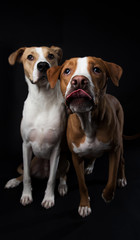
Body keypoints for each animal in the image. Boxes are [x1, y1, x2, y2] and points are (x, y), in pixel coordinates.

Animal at [5, 46, 69, 208]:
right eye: (30, 57)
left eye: (51, 56)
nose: (43, 65)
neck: (42, 99)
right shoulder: (26, 146)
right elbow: (27, 176)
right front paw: (26, 195)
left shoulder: (56, 149)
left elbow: (51, 180)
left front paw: (49, 198)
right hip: (33, 161)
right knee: (24, 174)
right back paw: (13, 181)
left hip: (65, 159)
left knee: (62, 174)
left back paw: (62, 186)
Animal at [46, 56, 127, 218]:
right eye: (67, 71)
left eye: (96, 69)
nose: (78, 81)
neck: (87, 120)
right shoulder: (76, 157)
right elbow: (82, 185)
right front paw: (85, 204)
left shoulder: (114, 150)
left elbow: (112, 176)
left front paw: (108, 195)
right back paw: (89, 166)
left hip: (120, 142)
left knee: (121, 161)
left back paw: (122, 178)